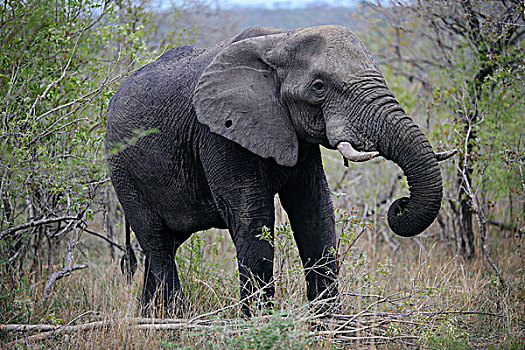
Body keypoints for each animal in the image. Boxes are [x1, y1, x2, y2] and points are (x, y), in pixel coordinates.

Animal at [105, 23, 454, 314]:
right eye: (319, 87)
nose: (400, 205)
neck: (280, 40)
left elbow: (315, 214)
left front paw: (328, 329)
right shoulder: (219, 133)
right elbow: (253, 219)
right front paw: (261, 326)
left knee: (163, 247)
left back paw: (147, 319)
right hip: (123, 171)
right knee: (158, 244)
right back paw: (174, 318)